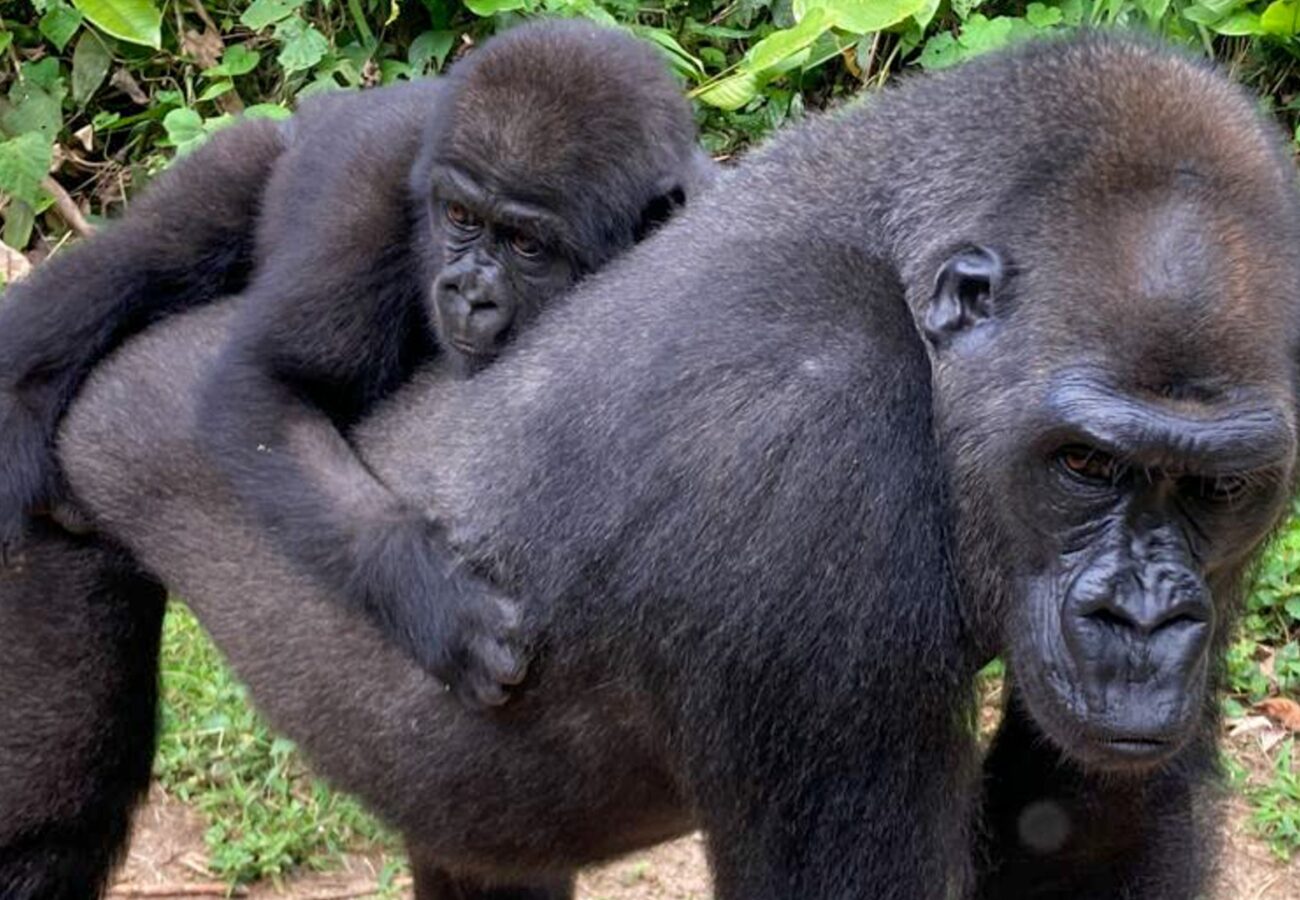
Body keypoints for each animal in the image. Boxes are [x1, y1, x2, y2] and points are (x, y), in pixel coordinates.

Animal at [50, 30, 1300, 900]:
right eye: (1082, 465)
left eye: (1217, 491)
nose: (1143, 623)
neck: (894, 269)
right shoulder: (810, 443)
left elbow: (1094, 811)